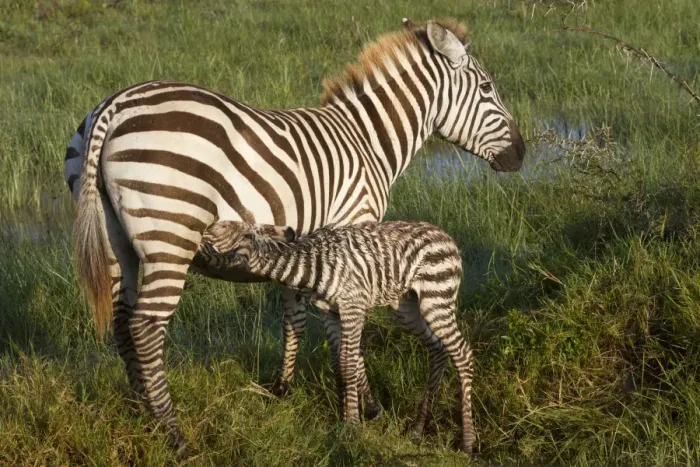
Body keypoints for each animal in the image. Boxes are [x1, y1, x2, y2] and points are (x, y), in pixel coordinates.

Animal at [199, 220, 475, 453]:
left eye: (218, 231)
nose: (202, 230)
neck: (311, 266)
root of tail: (446, 236)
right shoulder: (329, 312)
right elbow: (339, 364)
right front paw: (343, 420)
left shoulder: (353, 306)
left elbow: (350, 364)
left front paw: (352, 426)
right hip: (406, 306)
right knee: (438, 347)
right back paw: (418, 427)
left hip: (436, 299)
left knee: (463, 354)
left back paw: (468, 442)